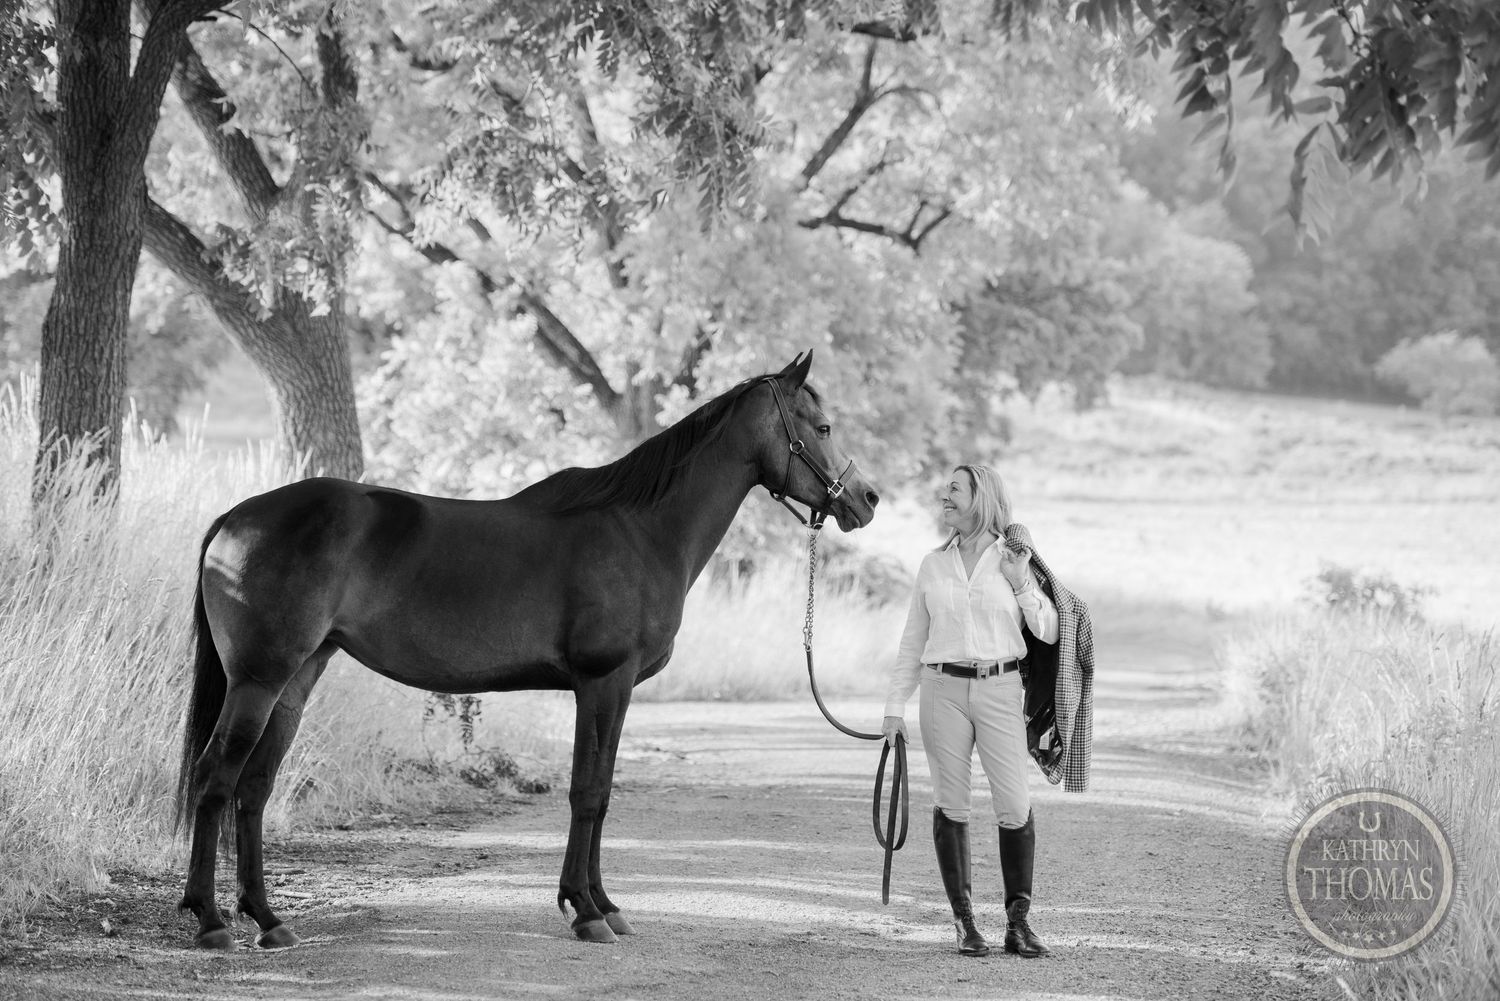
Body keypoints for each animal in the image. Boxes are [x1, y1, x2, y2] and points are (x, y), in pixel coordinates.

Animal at [174, 351, 880, 949]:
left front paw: (603, 905)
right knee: (215, 777)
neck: (640, 530)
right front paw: (587, 912)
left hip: (296, 681)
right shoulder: (603, 682)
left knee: (254, 787)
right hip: (258, 682)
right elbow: (587, 792)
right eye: (821, 426)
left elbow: (602, 789)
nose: (866, 500)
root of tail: (235, 518)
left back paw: (268, 920)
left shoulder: (613, 690)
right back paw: (212, 922)